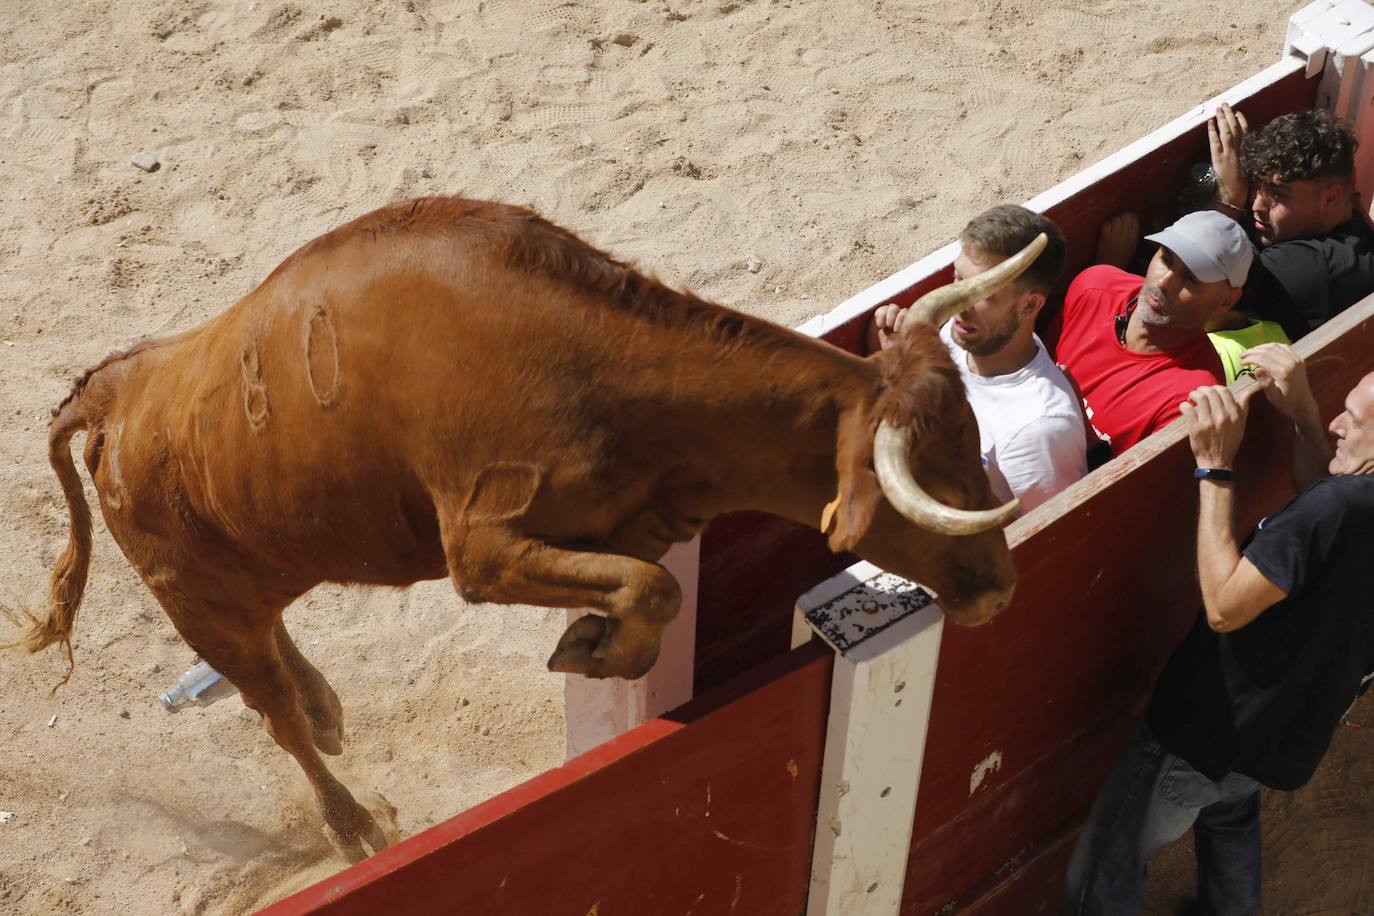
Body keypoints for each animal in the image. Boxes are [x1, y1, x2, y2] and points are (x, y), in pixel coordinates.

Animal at [5, 195, 1033, 862]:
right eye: (924, 481)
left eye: (972, 440)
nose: (999, 585)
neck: (599, 369)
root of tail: (117, 388)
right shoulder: (482, 550)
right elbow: (652, 587)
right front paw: (591, 647)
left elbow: (649, 581)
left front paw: (596, 640)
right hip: (197, 600)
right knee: (274, 715)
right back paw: (354, 826)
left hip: (250, 567)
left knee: (281, 662)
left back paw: (330, 708)